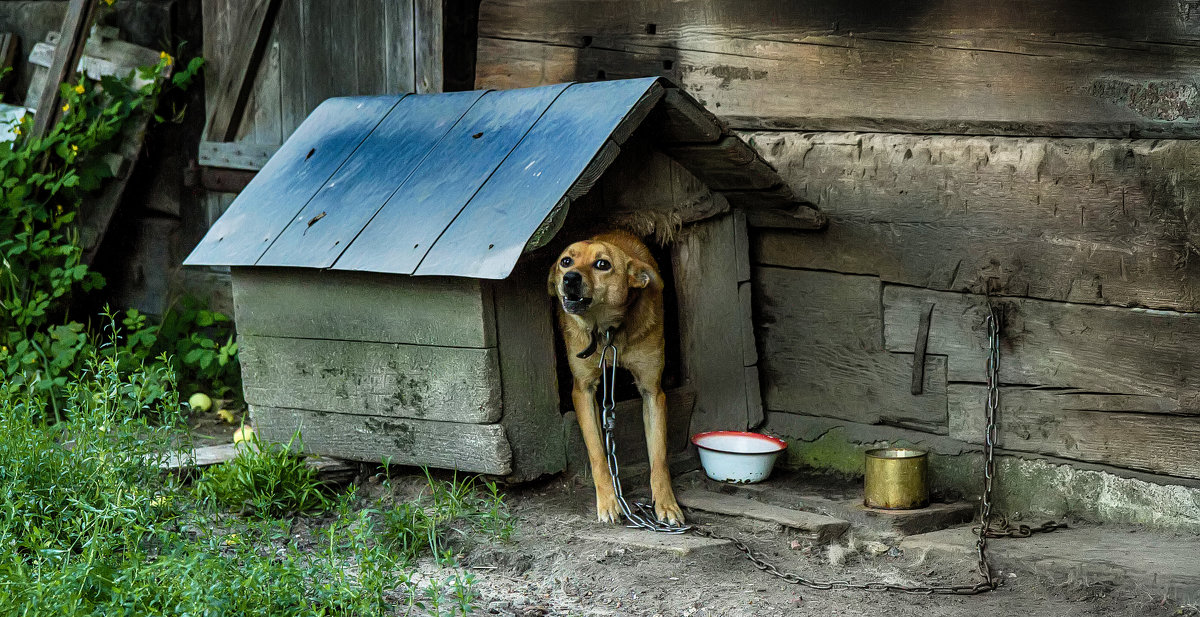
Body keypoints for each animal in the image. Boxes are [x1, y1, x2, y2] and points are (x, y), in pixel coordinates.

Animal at [547, 230, 686, 523]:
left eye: (602, 264)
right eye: (566, 261)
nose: (570, 278)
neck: (608, 331)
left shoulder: (652, 391)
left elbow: (659, 456)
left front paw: (666, 503)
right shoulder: (583, 390)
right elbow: (598, 453)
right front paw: (609, 501)